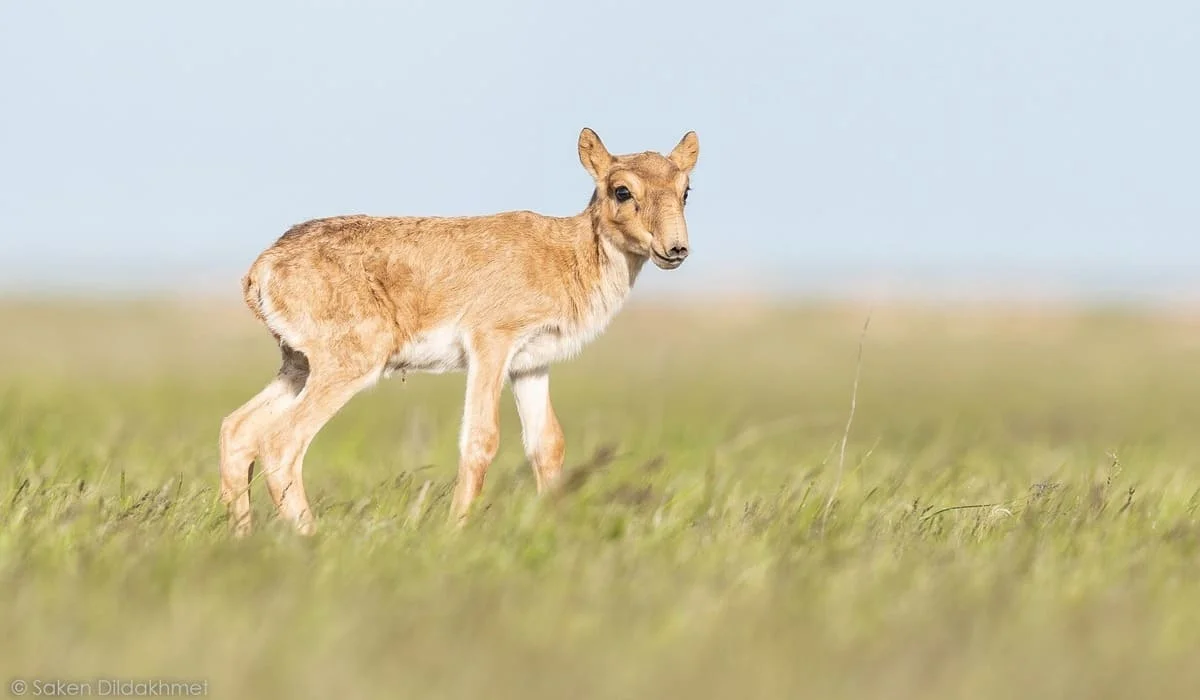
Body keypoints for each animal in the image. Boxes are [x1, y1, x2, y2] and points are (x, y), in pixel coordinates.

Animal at [220, 128, 700, 537]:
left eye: (686, 189)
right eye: (622, 190)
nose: (676, 249)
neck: (568, 253)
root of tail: (264, 265)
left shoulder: (530, 365)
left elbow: (547, 445)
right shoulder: (492, 345)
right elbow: (481, 439)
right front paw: (455, 532)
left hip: (297, 365)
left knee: (238, 429)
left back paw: (242, 536)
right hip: (348, 366)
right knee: (280, 441)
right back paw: (310, 536)